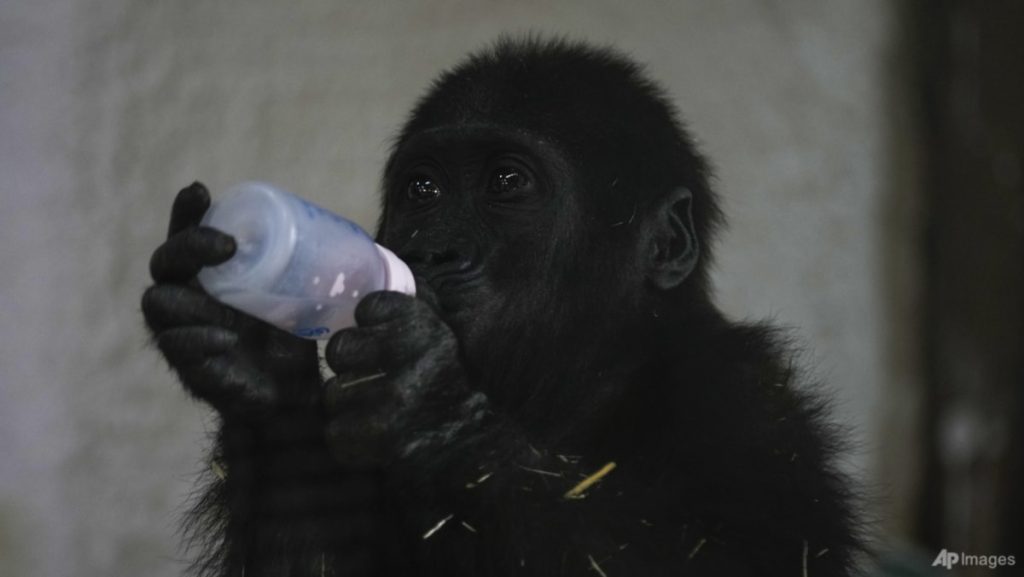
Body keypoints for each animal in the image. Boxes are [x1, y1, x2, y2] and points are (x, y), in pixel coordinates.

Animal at [142, 38, 864, 573]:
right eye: (423, 189)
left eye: (506, 182)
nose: (433, 252)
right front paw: (258, 362)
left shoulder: (745, 404)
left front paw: (432, 409)